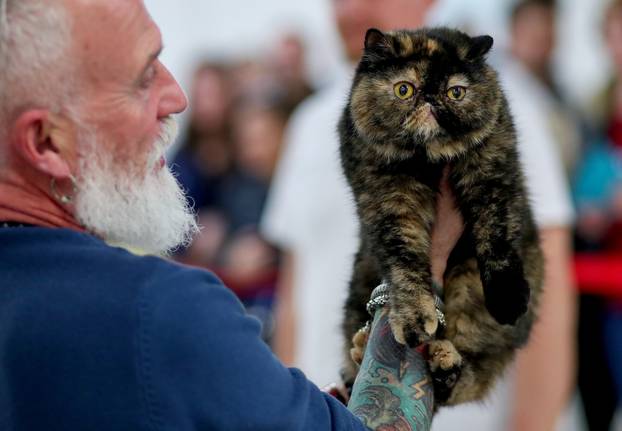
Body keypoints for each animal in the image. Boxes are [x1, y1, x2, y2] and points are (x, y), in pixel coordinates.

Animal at [342, 27, 544, 408]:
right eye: (404, 89)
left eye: (455, 92)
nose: (430, 101)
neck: (430, 160)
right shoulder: (389, 205)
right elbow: (405, 264)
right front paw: (415, 320)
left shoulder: (495, 178)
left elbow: (497, 239)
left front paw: (508, 297)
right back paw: (363, 352)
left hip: (470, 294)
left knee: (464, 378)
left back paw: (445, 362)